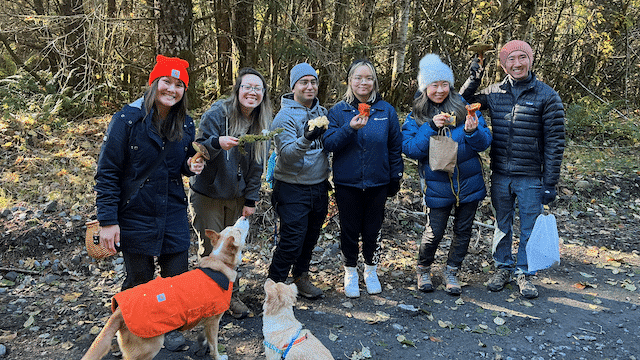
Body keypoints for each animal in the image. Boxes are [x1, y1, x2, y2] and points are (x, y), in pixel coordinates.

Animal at [80, 217, 250, 360]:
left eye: (232, 227)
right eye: (238, 231)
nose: (244, 216)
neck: (220, 262)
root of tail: (119, 311)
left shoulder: (207, 321)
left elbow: (204, 337)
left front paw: (202, 345)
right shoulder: (214, 321)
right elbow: (214, 345)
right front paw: (218, 356)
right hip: (149, 347)